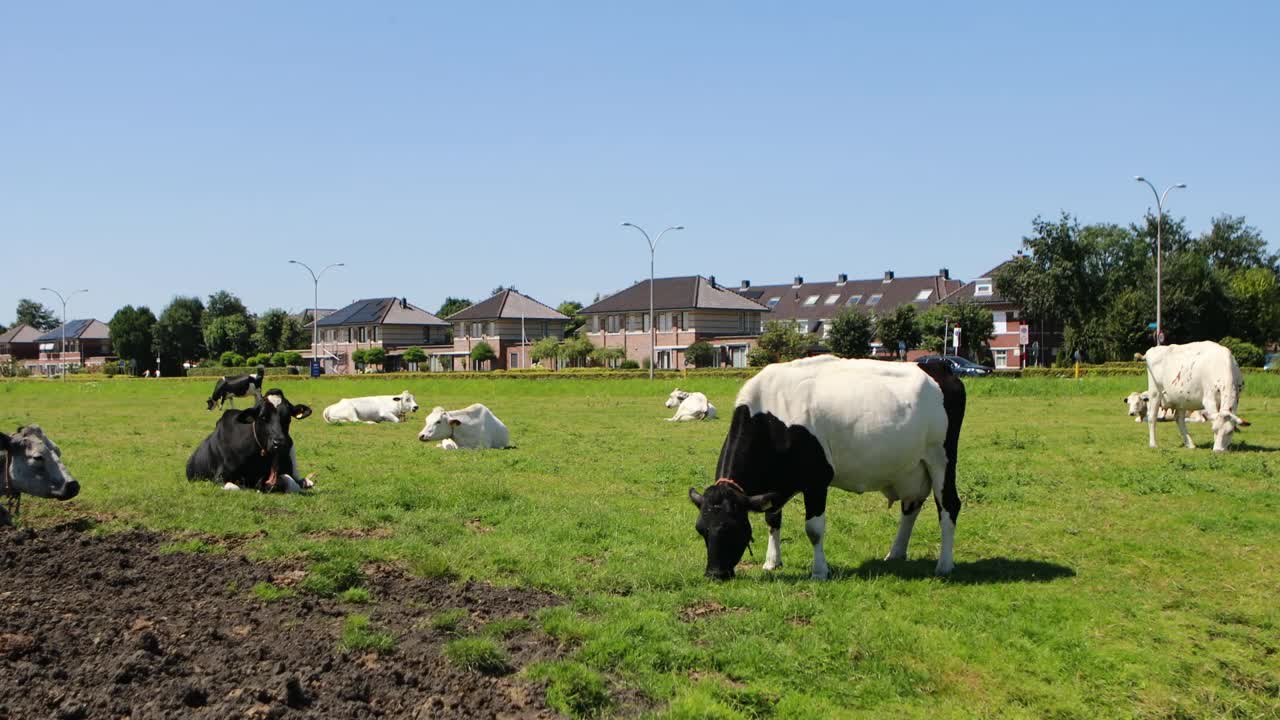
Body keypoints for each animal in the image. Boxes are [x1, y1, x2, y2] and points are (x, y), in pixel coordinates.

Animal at [691, 356, 962, 579]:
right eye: (701, 530)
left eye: (731, 527)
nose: (714, 574)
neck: (771, 417)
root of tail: (937, 366)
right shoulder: (777, 484)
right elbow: (772, 519)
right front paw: (772, 562)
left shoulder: (817, 480)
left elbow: (814, 529)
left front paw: (819, 571)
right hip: (911, 468)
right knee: (911, 507)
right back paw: (895, 554)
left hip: (941, 458)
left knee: (949, 505)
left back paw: (944, 565)